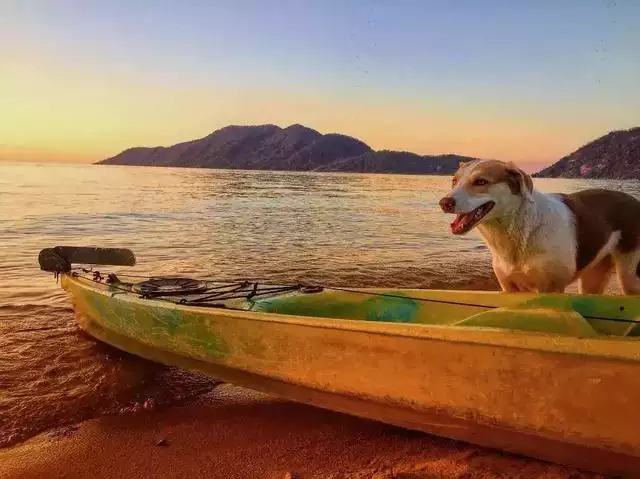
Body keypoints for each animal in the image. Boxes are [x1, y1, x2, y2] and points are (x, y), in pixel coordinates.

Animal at [438, 159, 640, 294]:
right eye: (454, 181)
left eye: (481, 181)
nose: (444, 203)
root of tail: (635, 201)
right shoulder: (508, 288)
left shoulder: (550, 289)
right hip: (593, 276)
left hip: (630, 276)